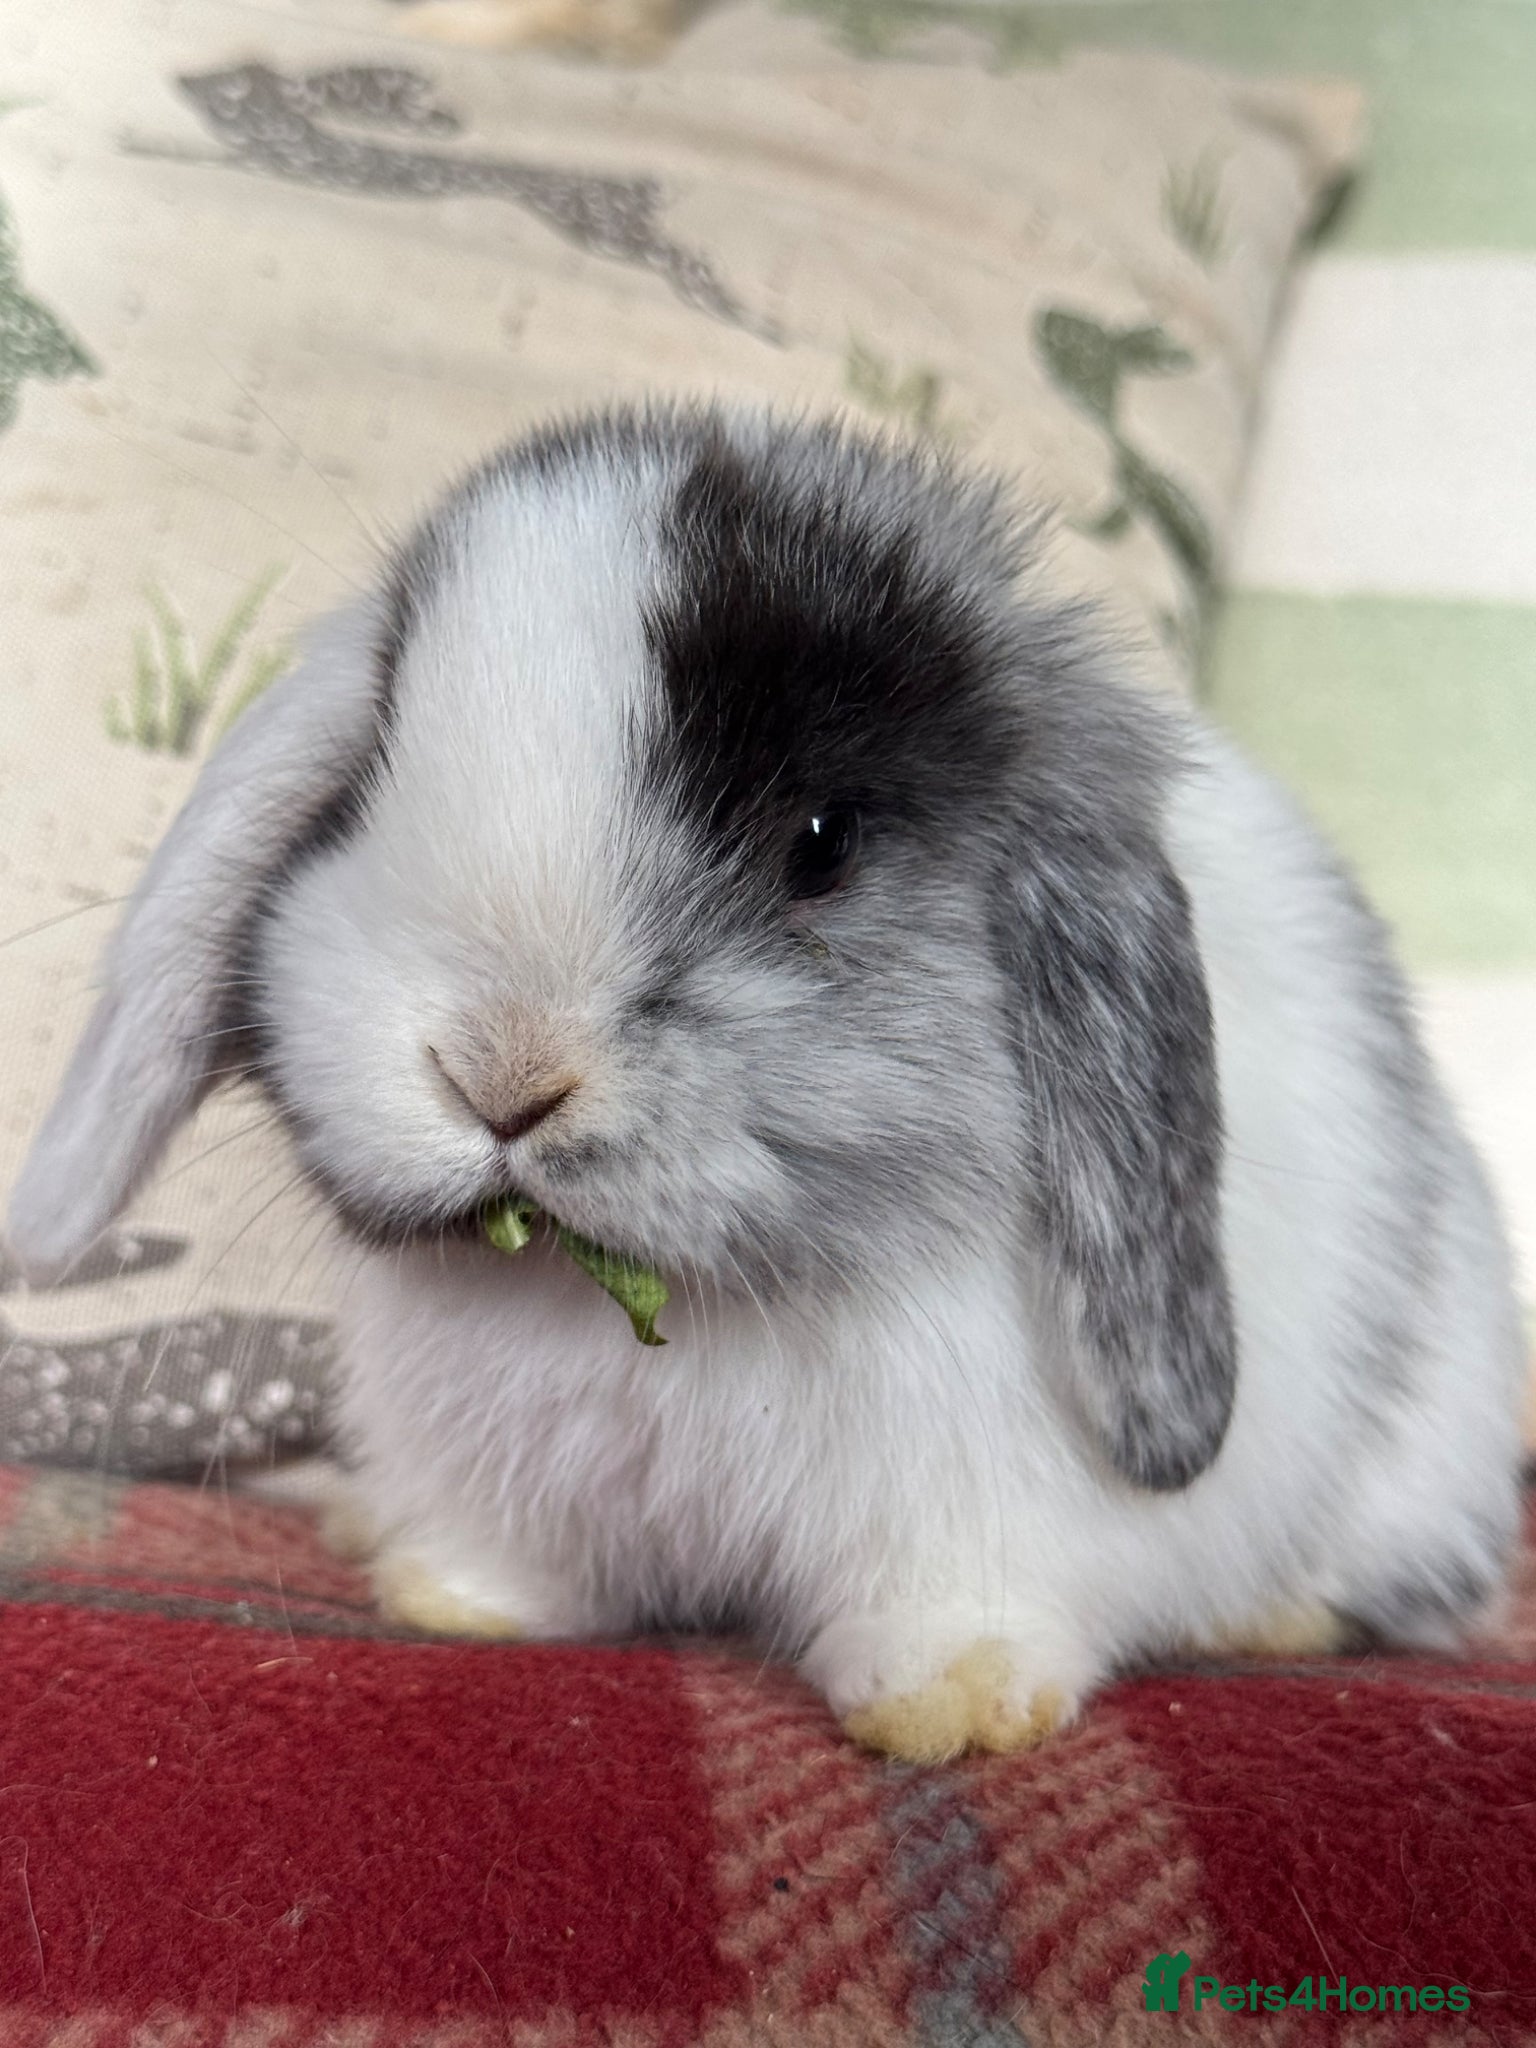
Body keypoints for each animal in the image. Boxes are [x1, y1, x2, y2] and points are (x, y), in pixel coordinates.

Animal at [8, 405, 1527, 1760]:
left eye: (820, 841)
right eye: (368, 784)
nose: (501, 1073)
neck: (674, 1311)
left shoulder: (976, 1517)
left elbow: (962, 1620)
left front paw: (953, 1715)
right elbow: (512, 1563)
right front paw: (455, 1602)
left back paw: (1275, 1619)